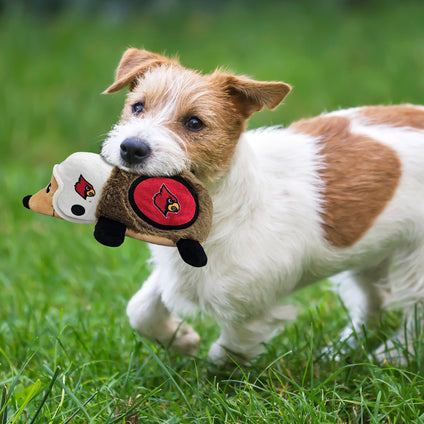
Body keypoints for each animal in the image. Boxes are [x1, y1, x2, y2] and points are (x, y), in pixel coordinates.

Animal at [101, 48, 424, 364]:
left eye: (194, 123)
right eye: (138, 107)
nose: (131, 148)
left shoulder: (251, 310)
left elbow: (227, 353)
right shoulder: (176, 272)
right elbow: (140, 309)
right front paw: (180, 338)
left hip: (414, 264)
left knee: (414, 315)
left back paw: (395, 355)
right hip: (369, 255)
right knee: (373, 303)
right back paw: (341, 352)